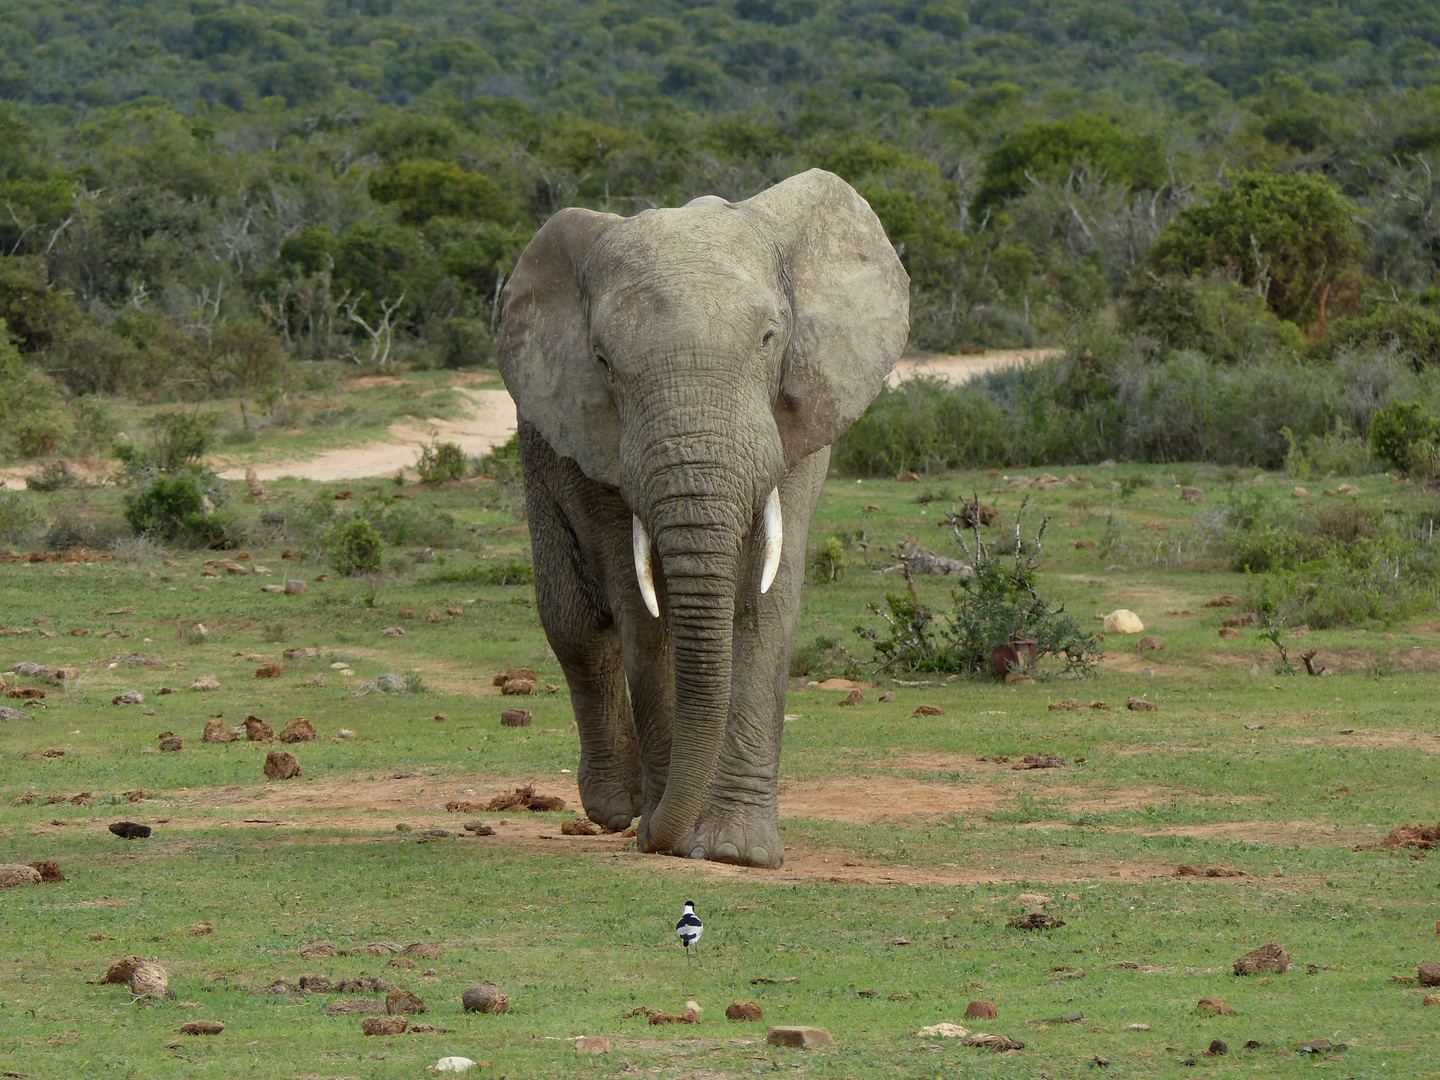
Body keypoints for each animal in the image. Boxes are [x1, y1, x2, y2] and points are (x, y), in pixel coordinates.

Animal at [489, 173, 904, 875]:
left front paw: (737, 852)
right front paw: (667, 836)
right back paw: (618, 810)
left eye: (769, 338)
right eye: (602, 360)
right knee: (574, 621)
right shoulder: (599, 445)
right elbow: (642, 610)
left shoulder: (796, 423)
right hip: (539, 447)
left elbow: (770, 600)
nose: (664, 836)